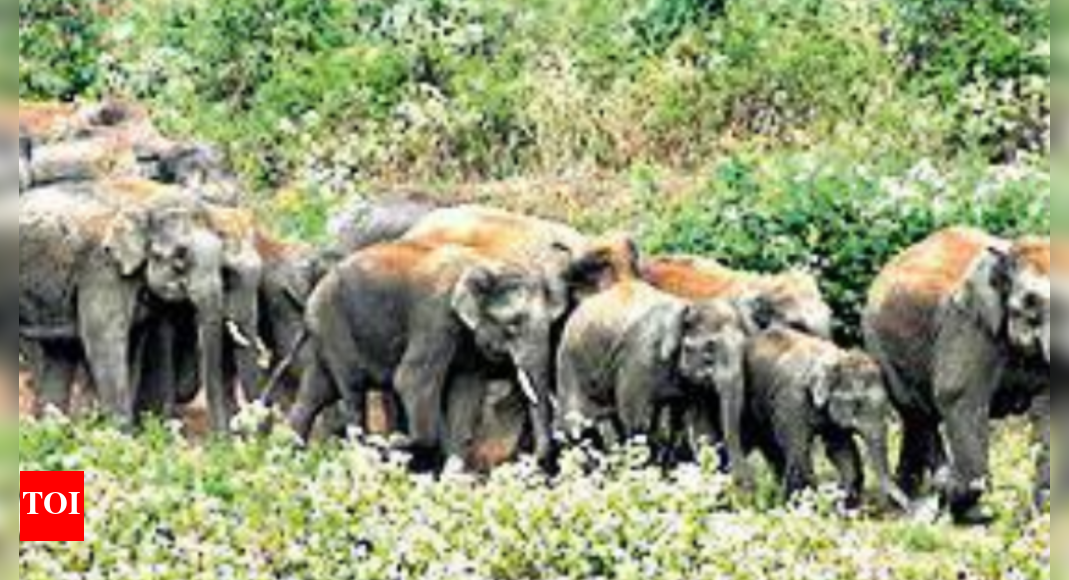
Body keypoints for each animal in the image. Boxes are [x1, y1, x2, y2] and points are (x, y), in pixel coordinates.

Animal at [18, 180, 249, 432]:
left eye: (221, 261)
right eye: (179, 258)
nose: (223, 438)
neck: (145, 203)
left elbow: (133, 344)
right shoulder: (103, 268)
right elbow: (105, 342)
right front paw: (120, 435)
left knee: (59, 350)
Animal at [288, 240, 570, 469]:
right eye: (513, 325)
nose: (527, 459)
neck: (487, 263)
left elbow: (466, 390)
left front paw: (451, 478)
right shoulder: (436, 315)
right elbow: (410, 380)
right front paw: (399, 443)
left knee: (315, 394)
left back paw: (290, 451)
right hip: (332, 322)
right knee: (352, 388)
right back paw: (365, 446)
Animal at [556, 276, 753, 484]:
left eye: (744, 348)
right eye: (709, 349)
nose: (746, 482)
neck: (688, 305)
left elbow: (701, 426)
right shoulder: (640, 359)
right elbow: (637, 423)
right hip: (570, 360)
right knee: (576, 426)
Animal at [743, 328, 910, 510]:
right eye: (856, 404)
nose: (906, 506)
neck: (837, 357)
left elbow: (840, 448)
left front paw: (844, 505)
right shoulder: (791, 400)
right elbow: (799, 449)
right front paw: (810, 508)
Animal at [864, 227, 1050, 524]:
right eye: (1030, 302)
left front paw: (1039, 517)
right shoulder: (967, 323)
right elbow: (960, 398)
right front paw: (975, 512)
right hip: (879, 344)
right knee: (918, 413)